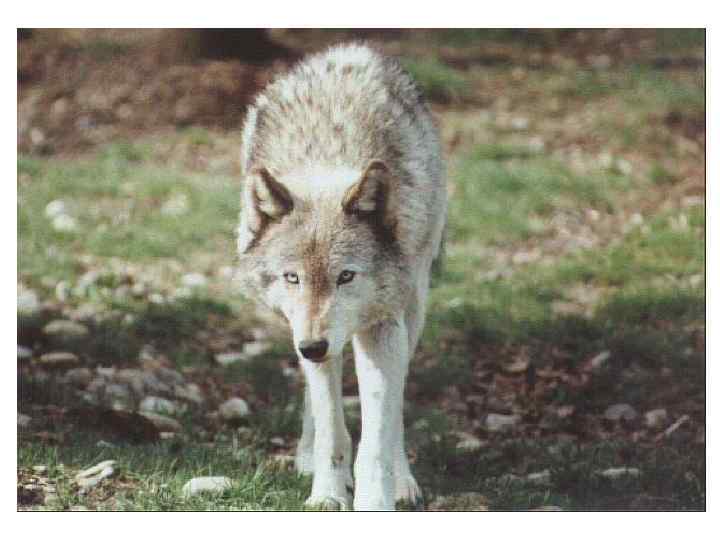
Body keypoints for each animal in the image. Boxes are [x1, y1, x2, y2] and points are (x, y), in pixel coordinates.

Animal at [236, 43, 448, 510]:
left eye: (346, 276)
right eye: (292, 277)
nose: (313, 346)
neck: (330, 162)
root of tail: (354, 50)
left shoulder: (383, 325)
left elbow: (377, 435)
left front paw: (376, 499)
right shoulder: (305, 329)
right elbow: (332, 426)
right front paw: (327, 493)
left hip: (413, 306)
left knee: (395, 404)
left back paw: (403, 479)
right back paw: (305, 454)